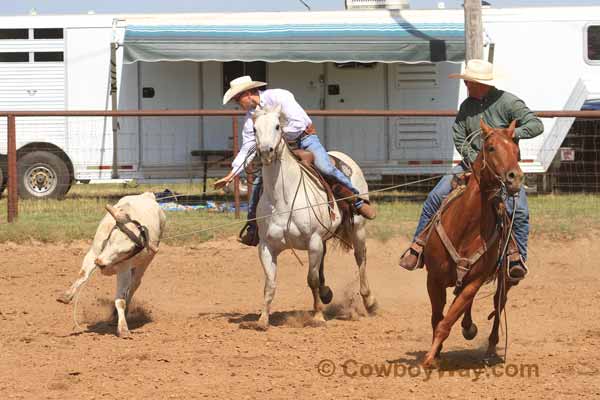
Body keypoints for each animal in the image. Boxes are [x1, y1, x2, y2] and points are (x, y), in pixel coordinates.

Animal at [59, 192, 166, 336]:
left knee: (134, 285)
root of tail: (147, 196)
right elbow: (82, 275)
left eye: (126, 251)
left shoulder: (124, 270)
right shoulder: (93, 253)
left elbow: (120, 301)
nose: (100, 262)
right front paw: (66, 296)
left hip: (144, 264)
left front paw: (123, 328)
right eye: (111, 238)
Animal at [250, 104, 380, 330]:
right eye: (254, 129)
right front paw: (263, 319)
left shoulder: (313, 240)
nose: (266, 151)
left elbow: (311, 279)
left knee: (360, 257)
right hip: (325, 238)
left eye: (277, 126)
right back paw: (327, 292)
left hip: (358, 228)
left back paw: (369, 302)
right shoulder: (266, 246)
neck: (282, 199)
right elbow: (270, 283)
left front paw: (318, 316)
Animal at [420, 119, 524, 368]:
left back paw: (490, 348)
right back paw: (468, 328)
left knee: (498, 304)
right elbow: (437, 318)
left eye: (516, 151)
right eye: (491, 147)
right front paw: (435, 354)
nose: (515, 178)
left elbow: (446, 321)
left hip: (505, 279)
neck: (465, 227)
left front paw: (430, 358)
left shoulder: (474, 282)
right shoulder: (433, 279)